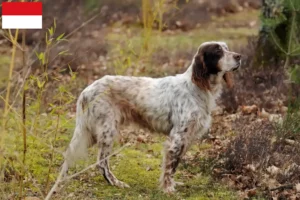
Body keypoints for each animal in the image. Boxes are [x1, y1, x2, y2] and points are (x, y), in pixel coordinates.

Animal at [53, 41, 241, 194]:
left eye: (226, 48)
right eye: (218, 51)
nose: (239, 56)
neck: (198, 88)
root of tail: (86, 90)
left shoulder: (187, 138)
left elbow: (174, 165)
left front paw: (172, 184)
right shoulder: (177, 137)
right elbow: (170, 166)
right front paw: (168, 189)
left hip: (91, 132)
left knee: (70, 154)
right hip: (107, 130)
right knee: (101, 162)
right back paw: (116, 183)